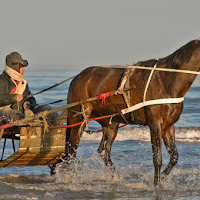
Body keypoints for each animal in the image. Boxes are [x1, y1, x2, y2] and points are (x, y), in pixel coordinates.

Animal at [63, 39, 200, 186]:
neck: (166, 82)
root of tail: (77, 77)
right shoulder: (155, 124)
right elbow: (157, 158)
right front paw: (156, 184)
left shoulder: (168, 126)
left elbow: (174, 157)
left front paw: (162, 178)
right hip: (78, 119)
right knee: (72, 151)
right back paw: (69, 177)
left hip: (110, 124)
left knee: (104, 152)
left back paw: (116, 177)